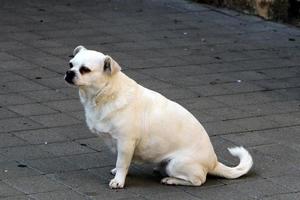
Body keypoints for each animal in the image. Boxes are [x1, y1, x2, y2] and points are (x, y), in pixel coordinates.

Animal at [65, 45, 253, 189]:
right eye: (70, 64)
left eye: (85, 70)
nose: (69, 72)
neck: (104, 95)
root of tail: (213, 162)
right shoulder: (121, 145)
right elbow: (122, 162)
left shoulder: (126, 142)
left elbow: (122, 163)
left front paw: (119, 180)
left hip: (175, 163)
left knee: (198, 180)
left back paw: (171, 180)